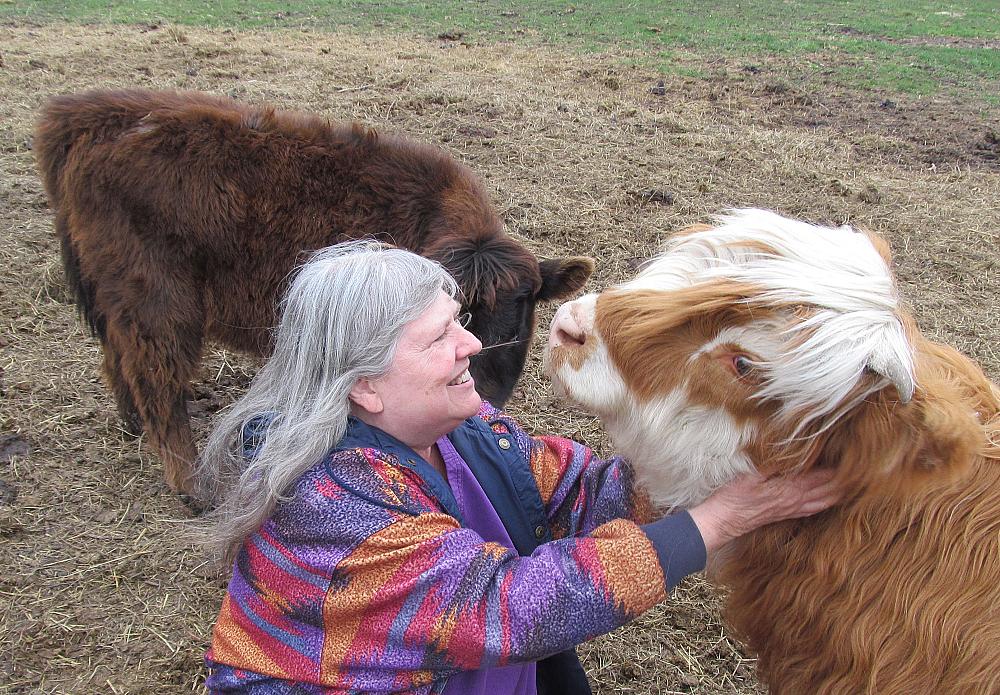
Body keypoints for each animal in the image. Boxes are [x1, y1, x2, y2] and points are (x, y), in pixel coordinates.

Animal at [35, 88, 593, 497]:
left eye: (521, 315)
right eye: (457, 317)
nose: (485, 389)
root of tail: (91, 114)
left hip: (118, 296)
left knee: (118, 356)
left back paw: (134, 427)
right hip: (158, 301)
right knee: (156, 378)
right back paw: (190, 484)